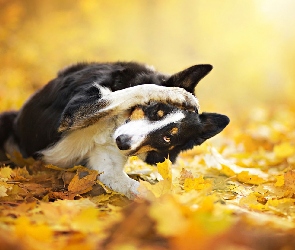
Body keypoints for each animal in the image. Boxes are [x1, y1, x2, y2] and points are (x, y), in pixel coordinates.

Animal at [0, 62, 230, 199]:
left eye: (167, 138)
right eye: (156, 111)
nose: (123, 142)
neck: (112, 126)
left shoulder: (108, 170)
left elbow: (142, 190)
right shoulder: (72, 113)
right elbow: (138, 89)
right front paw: (176, 93)